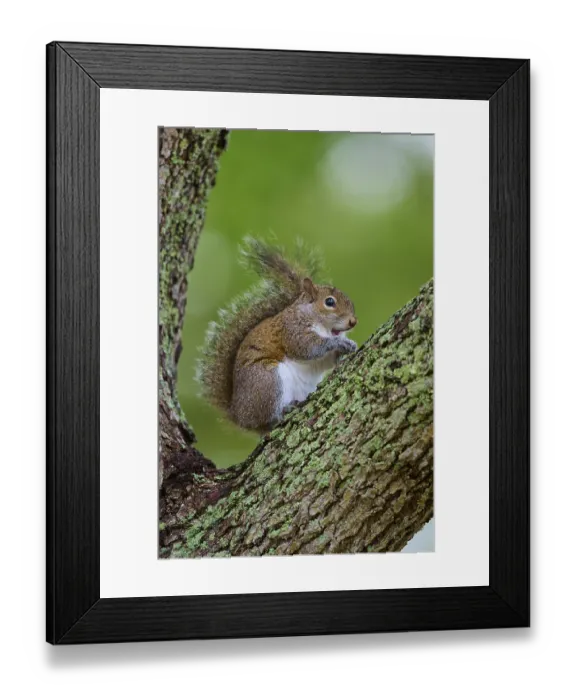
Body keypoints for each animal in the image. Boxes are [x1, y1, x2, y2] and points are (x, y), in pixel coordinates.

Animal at [196, 237, 358, 433]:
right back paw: (284, 410)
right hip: (267, 381)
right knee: (267, 419)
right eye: (329, 302)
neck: (318, 322)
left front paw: (348, 345)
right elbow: (308, 347)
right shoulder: (292, 330)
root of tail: (239, 414)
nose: (353, 321)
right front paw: (336, 343)